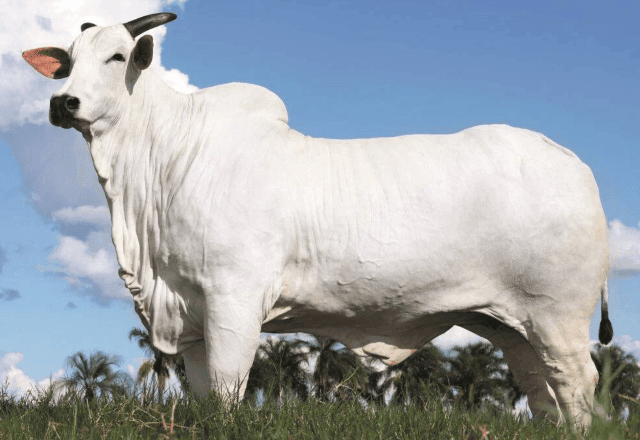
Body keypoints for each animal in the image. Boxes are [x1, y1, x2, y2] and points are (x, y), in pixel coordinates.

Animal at [24, 13, 612, 426]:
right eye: (67, 61)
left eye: (116, 56)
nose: (63, 102)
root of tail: (571, 161)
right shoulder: (188, 312)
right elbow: (204, 393)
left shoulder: (234, 300)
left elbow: (229, 389)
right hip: (512, 324)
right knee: (541, 388)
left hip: (558, 315)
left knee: (578, 383)